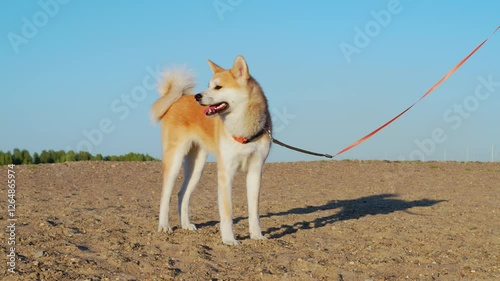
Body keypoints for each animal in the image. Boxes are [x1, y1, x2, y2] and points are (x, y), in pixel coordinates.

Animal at [150, 55, 272, 243]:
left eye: (218, 87)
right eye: (208, 85)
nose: (197, 96)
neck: (243, 128)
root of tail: (177, 99)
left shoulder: (256, 170)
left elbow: (254, 211)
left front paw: (257, 236)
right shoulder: (226, 171)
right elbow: (227, 211)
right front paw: (229, 240)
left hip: (197, 167)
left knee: (182, 195)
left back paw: (186, 225)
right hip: (174, 160)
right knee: (166, 195)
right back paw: (164, 225)